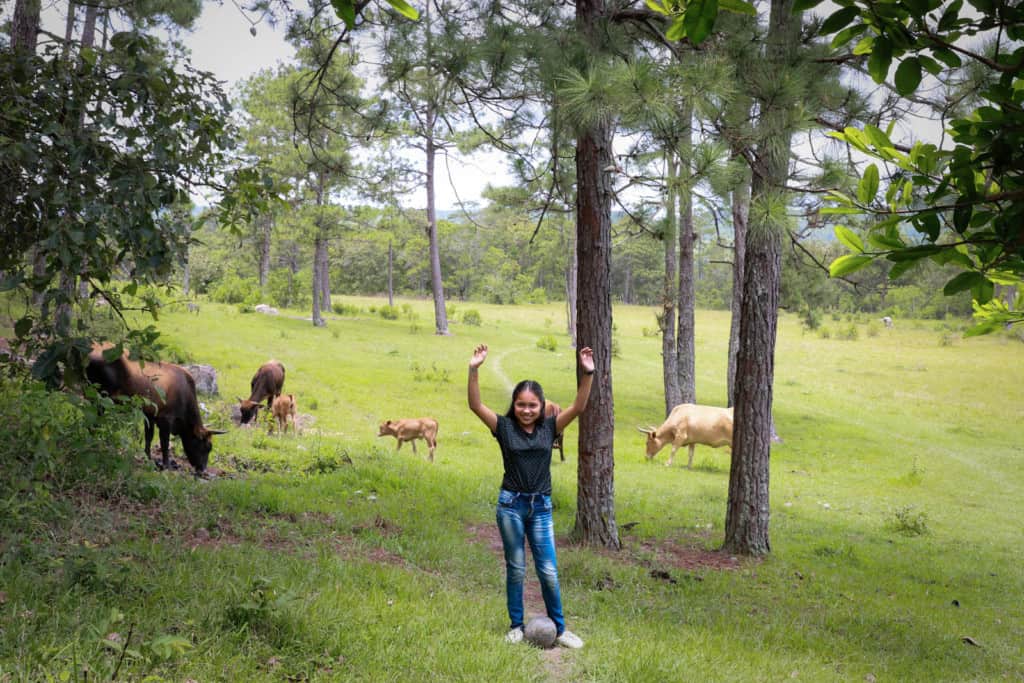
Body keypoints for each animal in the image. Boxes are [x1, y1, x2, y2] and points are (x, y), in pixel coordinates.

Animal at [86, 342, 226, 475]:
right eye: (206, 446)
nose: (202, 469)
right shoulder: (166, 419)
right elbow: (165, 443)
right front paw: (166, 465)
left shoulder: (150, 415)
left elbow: (149, 437)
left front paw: (148, 457)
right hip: (100, 397)